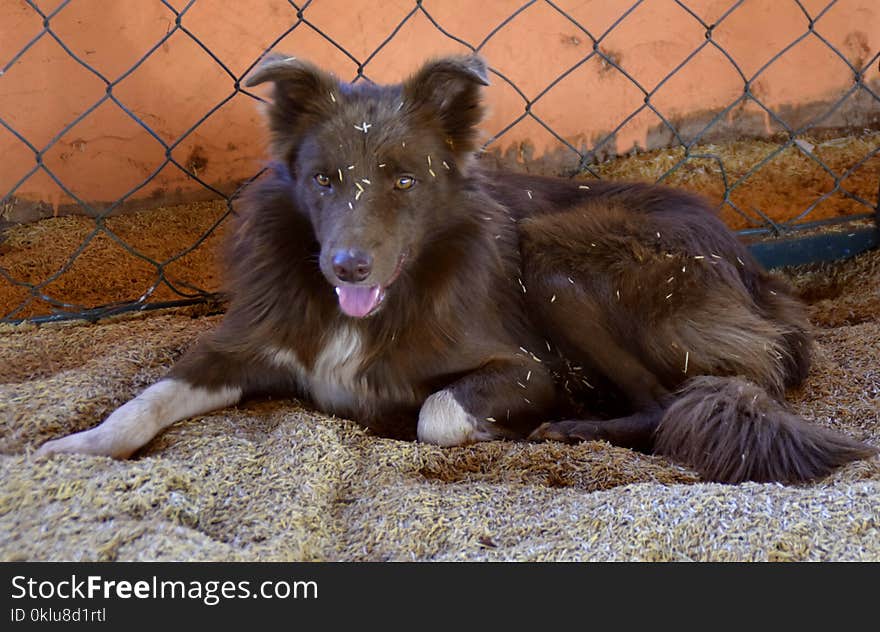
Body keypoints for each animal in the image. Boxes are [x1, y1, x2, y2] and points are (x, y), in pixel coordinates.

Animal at [32, 53, 872, 484]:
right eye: (324, 179)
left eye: (405, 179)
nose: (347, 265)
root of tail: (761, 278)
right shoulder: (242, 345)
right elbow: (145, 399)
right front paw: (78, 449)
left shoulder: (523, 365)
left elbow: (436, 414)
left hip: (558, 255)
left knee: (663, 404)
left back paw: (568, 430)